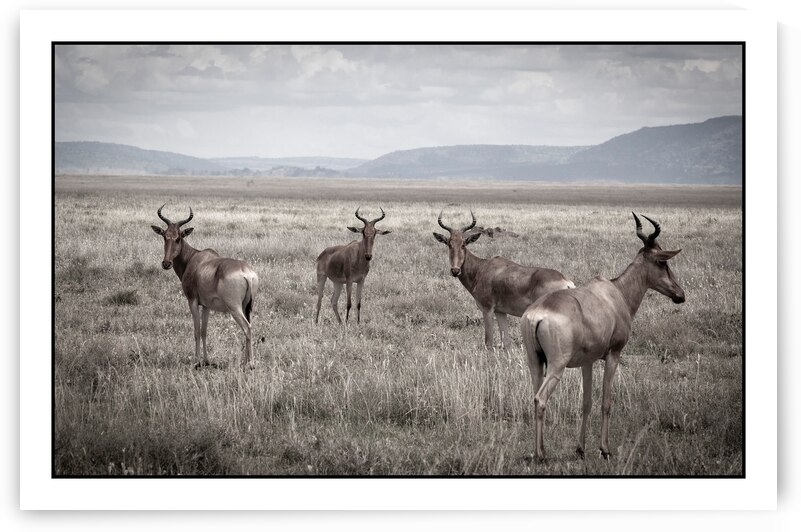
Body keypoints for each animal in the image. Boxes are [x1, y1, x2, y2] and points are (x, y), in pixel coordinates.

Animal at [151, 205, 259, 370]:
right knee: (249, 327)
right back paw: (245, 362)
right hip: (247, 306)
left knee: (247, 328)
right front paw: (206, 361)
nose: (166, 263)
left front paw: (196, 361)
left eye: (179, 237)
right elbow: (204, 331)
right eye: (164, 236)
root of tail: (246, 272)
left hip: (234, 307)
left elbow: (196, 330)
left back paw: (251, 364)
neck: (193, 258)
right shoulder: (207, 305)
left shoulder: (192, 301)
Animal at [433, 210, 574, 349]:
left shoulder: (487, 309)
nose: (455, 270)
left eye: (463, 244)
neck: (482, 268)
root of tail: (566, 282)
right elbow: (506, 343)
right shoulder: (500, 312)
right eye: (449, 244)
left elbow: (488, 343)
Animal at [520, 213, 685, 460]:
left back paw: (536, 450)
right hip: (557, 365)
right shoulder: (614, 354)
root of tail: (537, 314)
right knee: (540, 399)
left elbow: (586, 402)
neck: (616, 293)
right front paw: (605, 449)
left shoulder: (586, 362)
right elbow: (606, 402)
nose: (680, 295)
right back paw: (541, 454)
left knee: (534, 395)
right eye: (662, 262)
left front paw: (580, 449)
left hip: (535, 361)